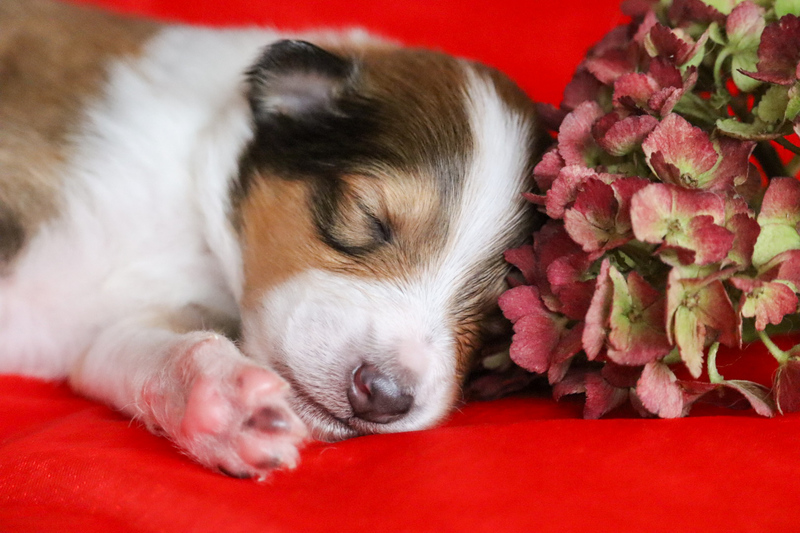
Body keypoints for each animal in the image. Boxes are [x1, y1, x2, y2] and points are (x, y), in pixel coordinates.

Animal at [0, 0, 544, 479]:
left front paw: (227, 407)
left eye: (498, 321)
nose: (385, 396)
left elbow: (137, 348)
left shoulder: (104, 334)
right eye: (368, 216)